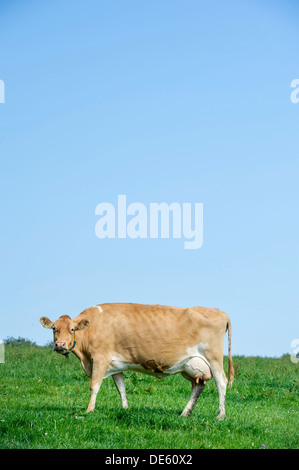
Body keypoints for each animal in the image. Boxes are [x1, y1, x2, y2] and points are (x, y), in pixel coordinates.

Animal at [40, 302, 234, 418]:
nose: (60, 344)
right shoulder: (115, 364)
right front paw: (126, 409)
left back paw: (221, 415)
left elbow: (94, 386)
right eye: (54, 328)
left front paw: (89, 410)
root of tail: (220, 312)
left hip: (214, 358)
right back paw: (184, 414)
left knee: (221, 382)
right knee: (198, 386)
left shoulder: (100, 359)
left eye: (72, 329)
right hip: (191, 365)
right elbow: (121, 388)